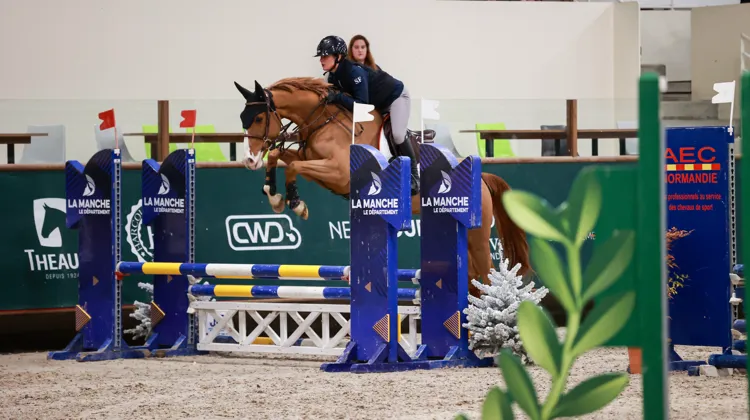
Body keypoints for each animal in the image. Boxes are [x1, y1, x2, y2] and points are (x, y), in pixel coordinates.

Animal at [233, 78, 530, 297]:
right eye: (243, 118)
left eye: (258, 118)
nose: (249, 160)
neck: (323, 121)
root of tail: (482, 178)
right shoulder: (314, 161)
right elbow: (279, 156)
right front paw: (274, 195)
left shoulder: (338, 172)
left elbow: (293, 166)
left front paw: (296, 204)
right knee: (471, 279)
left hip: (477, 235)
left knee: (485, 276)